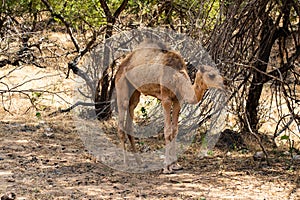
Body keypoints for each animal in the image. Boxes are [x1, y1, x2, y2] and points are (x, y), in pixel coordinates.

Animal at [115, 40, 225, 173]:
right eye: (211, 75)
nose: (224, 83)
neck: (177, 78)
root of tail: (122, 63)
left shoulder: (178, 100)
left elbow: (175, 131)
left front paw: (176, 165)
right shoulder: (166, 99)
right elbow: (167, 131)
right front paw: (166, 168)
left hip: (135, 91)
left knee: (130, 117)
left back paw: (140, 162)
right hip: (121, 85)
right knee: (122, 119)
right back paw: (126, 163)